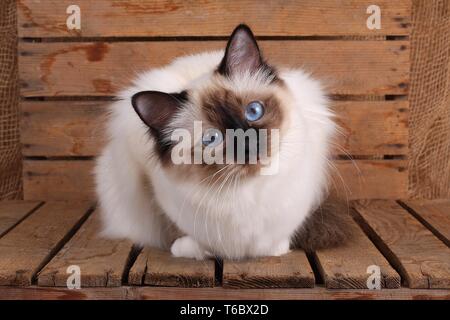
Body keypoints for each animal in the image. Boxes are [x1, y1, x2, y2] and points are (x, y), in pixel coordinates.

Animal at [95, 24, 352, 260]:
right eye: (212, 139)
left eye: (254, 111)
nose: (249, 144)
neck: (248, 193)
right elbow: (179, 232)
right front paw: (190, 249)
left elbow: (274, 241)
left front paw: (277, 249)